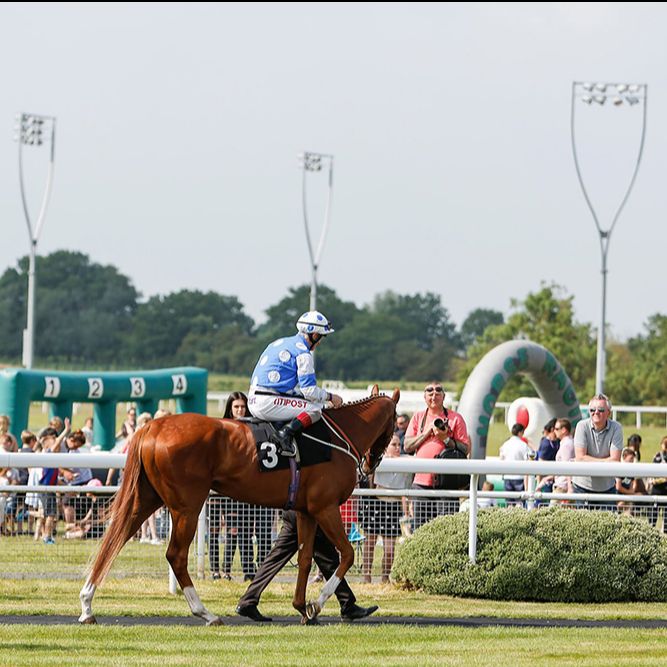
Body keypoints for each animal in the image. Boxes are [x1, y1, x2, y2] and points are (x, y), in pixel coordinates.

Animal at [80, 386, 400, 628]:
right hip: (187, 506)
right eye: (395, 423)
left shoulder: (306, 511)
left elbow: (307, 558)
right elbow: (346, 554)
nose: (370, 466)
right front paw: (317, 603)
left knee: (114, 540)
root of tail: (152, 426)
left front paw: (302, 607)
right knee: (175, 555)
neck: (337, 437)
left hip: (147, 498)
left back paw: (87, 606)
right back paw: (206, 613)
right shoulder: (326, 507)